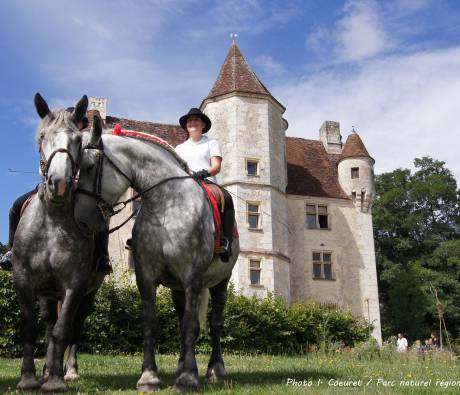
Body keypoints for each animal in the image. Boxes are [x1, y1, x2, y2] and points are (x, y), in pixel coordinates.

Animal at [11, 95, 105, 392]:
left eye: (76, 140)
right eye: (42, 137)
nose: (60, 184)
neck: (53, 219)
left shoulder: (74, 283)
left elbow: (64, 330)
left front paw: (55, 380)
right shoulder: (24, 277)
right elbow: (30, 326)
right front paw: (29, 378)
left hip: (85, 293)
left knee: (71, 326)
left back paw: (68, 371)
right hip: (47, 293)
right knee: (49, 325)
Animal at [74, 117, 241, 392]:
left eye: (88, 167)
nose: (81, 221)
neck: (166, 206)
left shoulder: (192, 277)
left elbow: (191, 324)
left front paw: (188, 379)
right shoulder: (147, 276)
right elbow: (152, 323)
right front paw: (149, 377)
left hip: (220, 283)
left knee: (215, 323)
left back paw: (215, 369)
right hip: (177, 289)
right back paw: (182, 365)